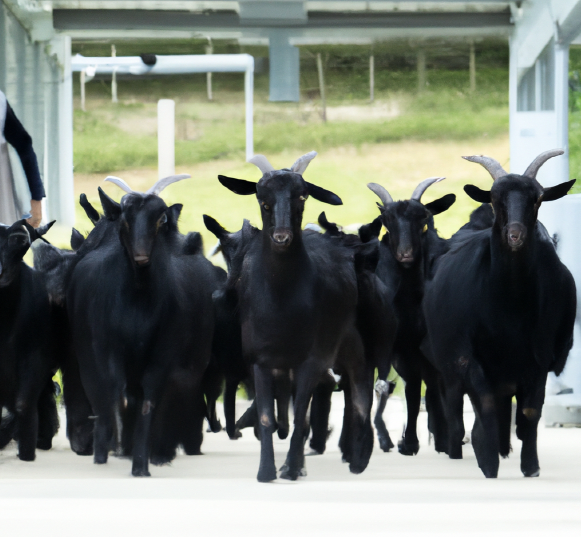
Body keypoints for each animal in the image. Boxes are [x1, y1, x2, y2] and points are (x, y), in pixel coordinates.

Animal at [422, 149, 576, 478]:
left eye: (537, 198)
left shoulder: (538, 358)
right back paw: (460, 449)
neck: (510, 311)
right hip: (449, 364)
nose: (515, 235)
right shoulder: (471, 357)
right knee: (457, 407)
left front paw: (530, 466)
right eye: (494, 198)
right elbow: (487, 405)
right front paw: (488, 462)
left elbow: (530, 411)